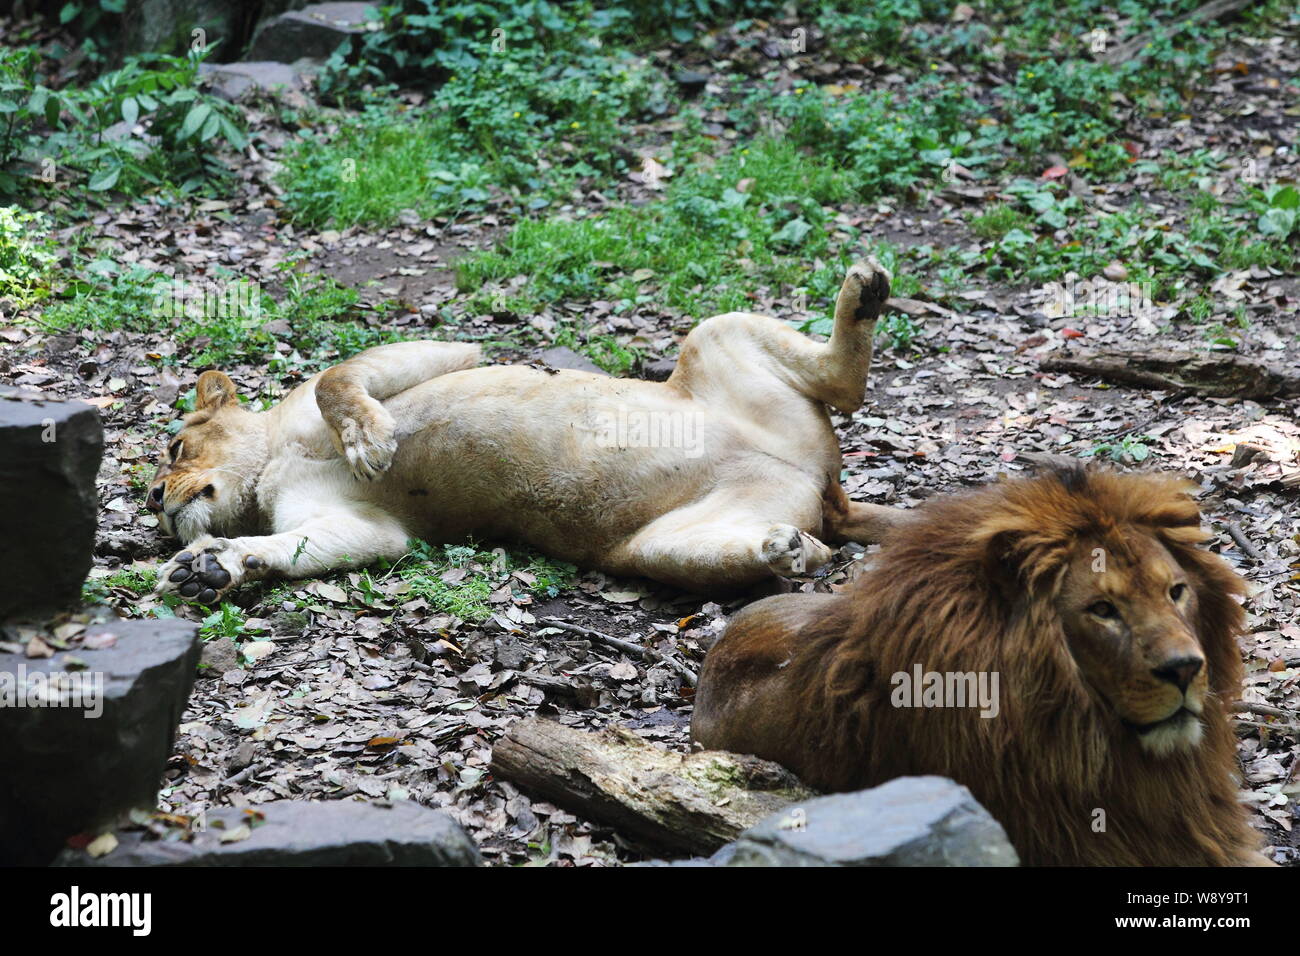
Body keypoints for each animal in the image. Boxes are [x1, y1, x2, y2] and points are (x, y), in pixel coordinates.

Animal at [148, 260, 905, 603]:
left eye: (175, 447)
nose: (156, 499)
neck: (272, 463)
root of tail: (822, 483)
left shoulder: (445, 352)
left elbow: (338, 376)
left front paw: (370, 442)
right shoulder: (368, 530)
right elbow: (297, 547)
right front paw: (212, 565)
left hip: (718, 335)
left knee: (847, 386)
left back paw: (863, 290)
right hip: (658, 548)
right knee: (795, 545)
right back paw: (789, 550)